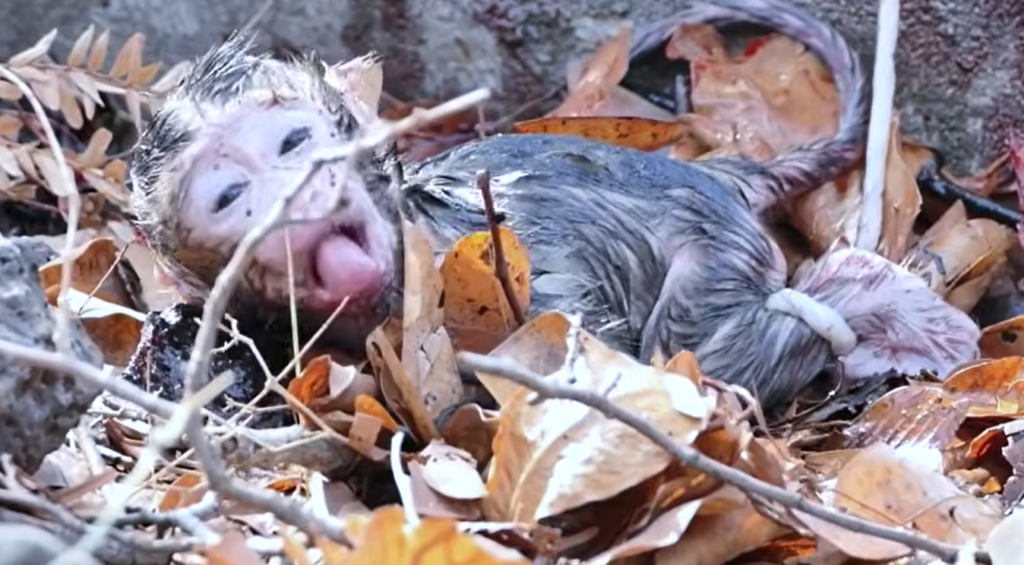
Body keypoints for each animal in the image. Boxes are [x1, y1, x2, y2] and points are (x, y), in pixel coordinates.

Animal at [125, 0, 980, 416]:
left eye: (294, 141)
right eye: (231, 195)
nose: (294, 195)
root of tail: (725, 176)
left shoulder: (515, 276)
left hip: (719, 251)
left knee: (688, 350)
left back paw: (874, 302)